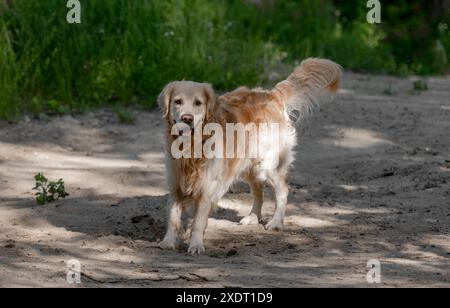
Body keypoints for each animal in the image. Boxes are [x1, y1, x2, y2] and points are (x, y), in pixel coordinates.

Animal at [158, 58, 342, 255]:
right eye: (177, 101)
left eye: (198, 103)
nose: (187, 118)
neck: (191, 149)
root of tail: (271, 94)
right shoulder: (175, 185)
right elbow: (173, 218)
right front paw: (168, 242)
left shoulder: (207, 188)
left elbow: (198, 222)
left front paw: (196, 245)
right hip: (248, 167)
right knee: (258, 192)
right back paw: (253, 217)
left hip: (268, 166)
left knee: (282, 191)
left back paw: (276, 222)